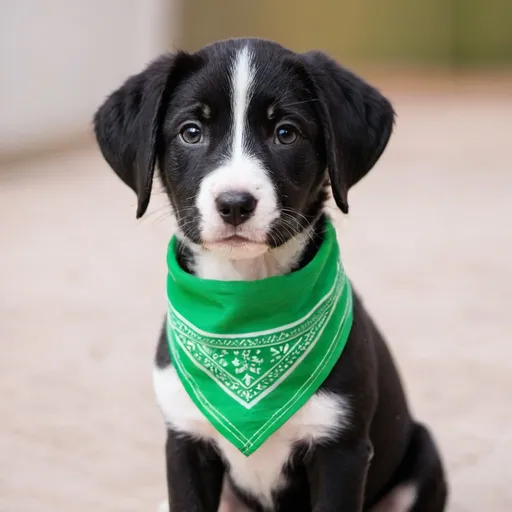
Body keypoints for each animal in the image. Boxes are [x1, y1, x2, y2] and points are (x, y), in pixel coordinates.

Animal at [94, 37, 446, 512]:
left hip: (423, 456)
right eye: (191, 131)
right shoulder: (184, 442)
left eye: (286, 133)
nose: (234, 203)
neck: (245, 301)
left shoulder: (341, 450)